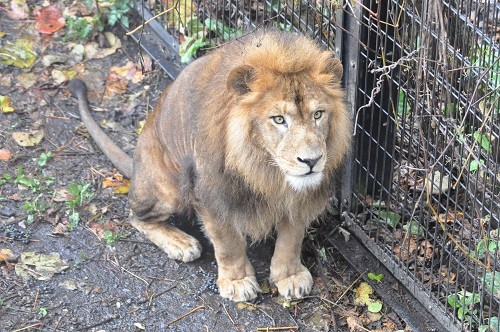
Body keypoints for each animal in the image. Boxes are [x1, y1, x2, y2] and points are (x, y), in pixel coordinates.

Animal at [68, 29, 352, 302]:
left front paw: (289, 276)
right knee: (136, 217)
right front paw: (237, 282)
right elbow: (228, 244)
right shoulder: (213, 195)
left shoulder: (298, 201)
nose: (312, 161)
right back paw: (181, 243)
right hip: (169, 187)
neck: (266, 171)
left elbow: (291, 239)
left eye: (318, 114)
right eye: (279, 119)